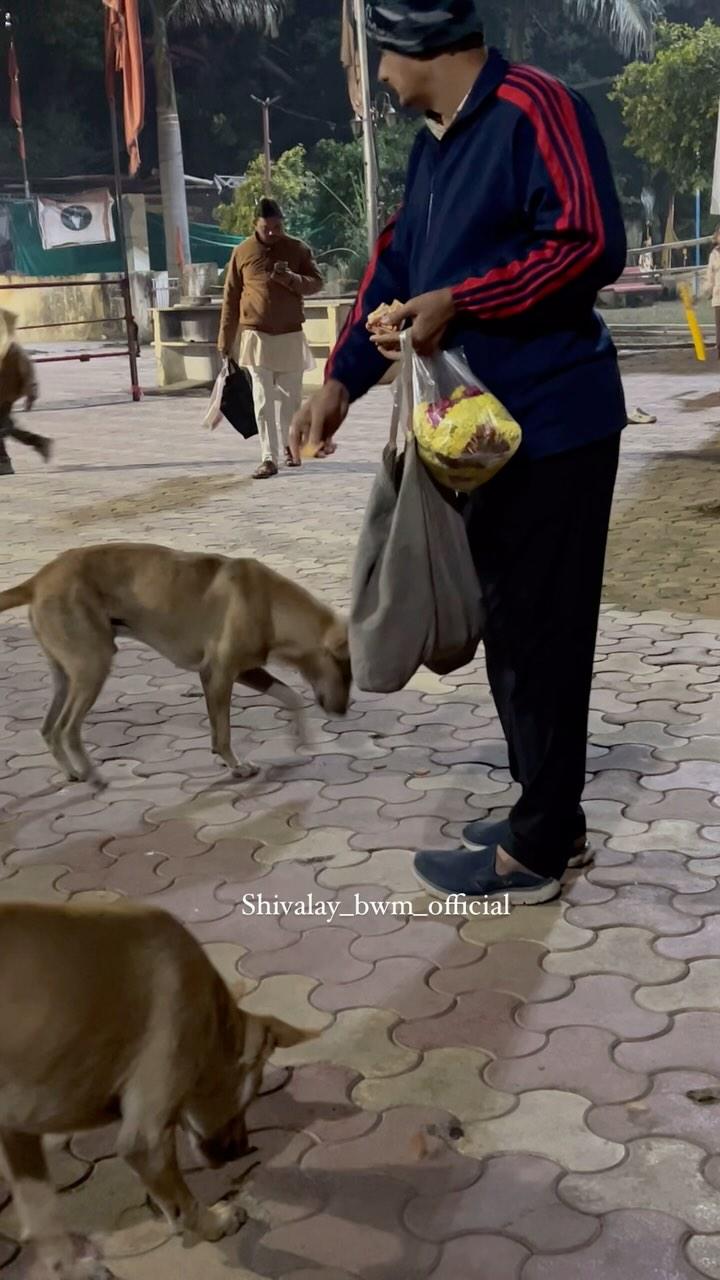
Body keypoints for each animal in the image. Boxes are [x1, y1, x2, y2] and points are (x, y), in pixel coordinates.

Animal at [0, 537, 351, 778]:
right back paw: (91, 774)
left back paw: (73, 771)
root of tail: (39, 579)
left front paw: (302, 736)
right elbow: (222, 734)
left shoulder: (247, 670)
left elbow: (290, 695)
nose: (343, 712)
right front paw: (236, 766)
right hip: (93, 667)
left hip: (66, 673)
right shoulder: (217, 674)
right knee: (67, 728)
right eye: (345, 672)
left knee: (49, 728)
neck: (272, 603)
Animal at [0, 901, 313, 1280]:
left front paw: (71, 1270)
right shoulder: (145, 1139)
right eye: (252, 1096)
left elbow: (42, 1217)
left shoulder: (16, 1132)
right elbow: (183, 1204)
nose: (242, 1150)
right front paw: (214, 1223)